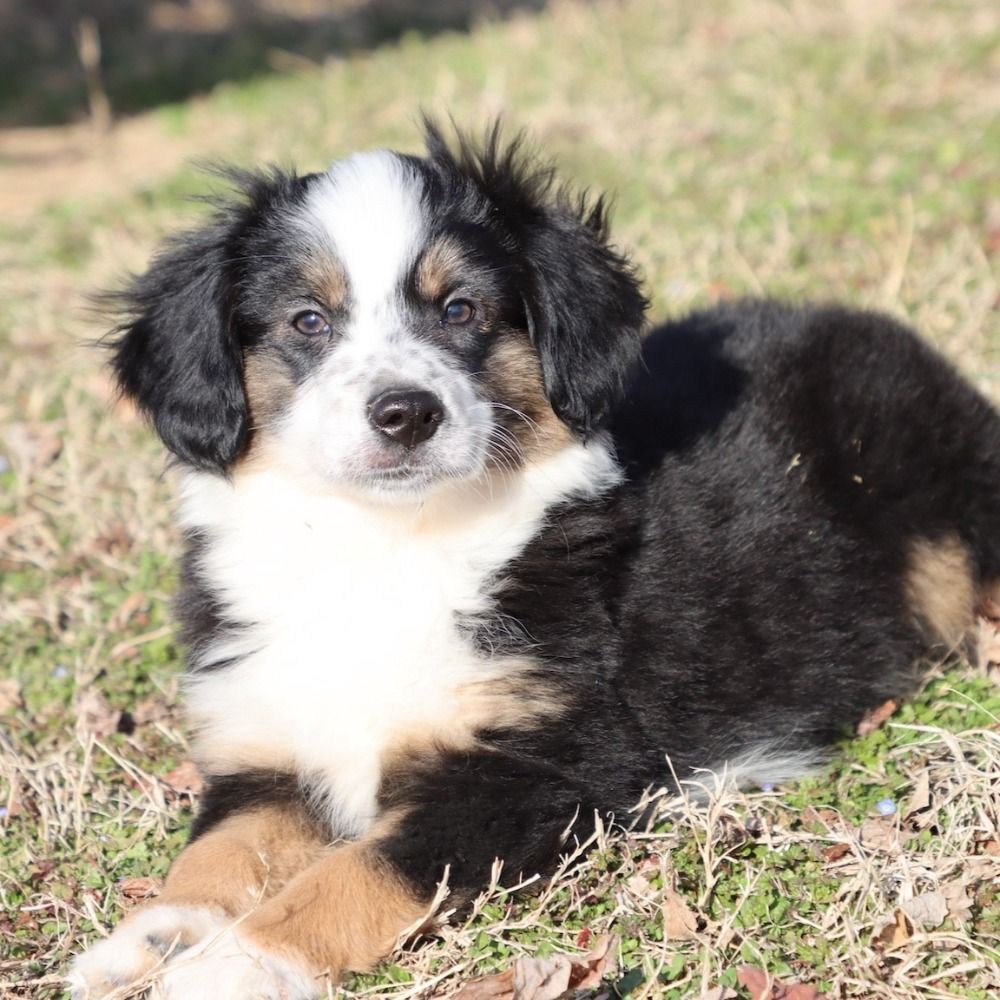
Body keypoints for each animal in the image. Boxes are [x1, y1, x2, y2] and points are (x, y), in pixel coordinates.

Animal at [70, 125, 1000, 1000]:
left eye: (460, 310)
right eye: (308, 321)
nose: (406, 414)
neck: (386, 543)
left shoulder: (535, 770)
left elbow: (354, 872)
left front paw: (239, 964)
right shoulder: (268, 752)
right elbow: (219, 854)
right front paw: (149, 940)